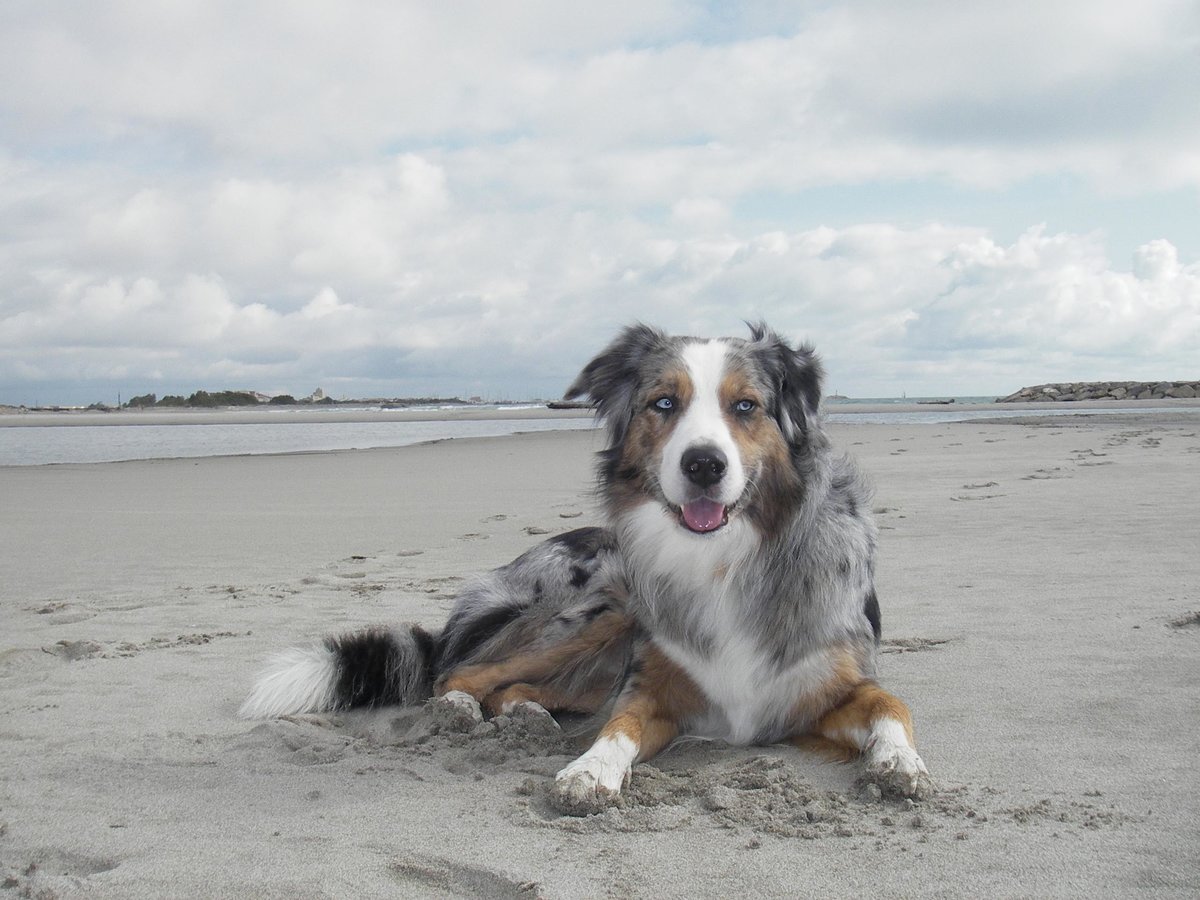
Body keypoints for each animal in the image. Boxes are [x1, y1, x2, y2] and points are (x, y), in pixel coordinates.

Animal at [238, 321, 931, 811]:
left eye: (746, 407)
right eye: (663, 404)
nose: (704, 464)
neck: (722, 561)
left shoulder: (831, 689)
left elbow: (893, 705)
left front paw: (900, 765)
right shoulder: (652, 690)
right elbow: (617, 726)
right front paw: (588, 771)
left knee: (515, 688)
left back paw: (528, 717)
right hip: (600, 605)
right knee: (457, 673)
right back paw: (463, 709)